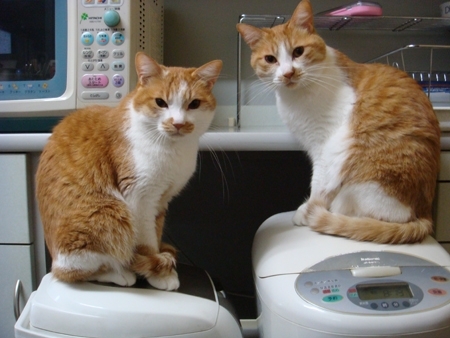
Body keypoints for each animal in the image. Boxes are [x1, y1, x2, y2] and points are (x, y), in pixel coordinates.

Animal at [36, 52, 222, 288]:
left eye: (194, 104)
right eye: (161, 102)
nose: (178, 124)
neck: (173, 151)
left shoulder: (161, 200)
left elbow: (156, 232)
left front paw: (161, 265)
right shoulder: (139, 198)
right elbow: (146, 245)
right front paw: (158, 274)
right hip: (109, 216)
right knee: (73, 272)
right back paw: (119, 274)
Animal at [237, 0, 442, 243]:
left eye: (298, 51)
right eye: (270, 59)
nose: (288, 73)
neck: (296, 97)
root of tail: (425, 213)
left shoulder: (324, 144)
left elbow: (318, 182)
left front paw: (306, 210)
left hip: (350, 159)